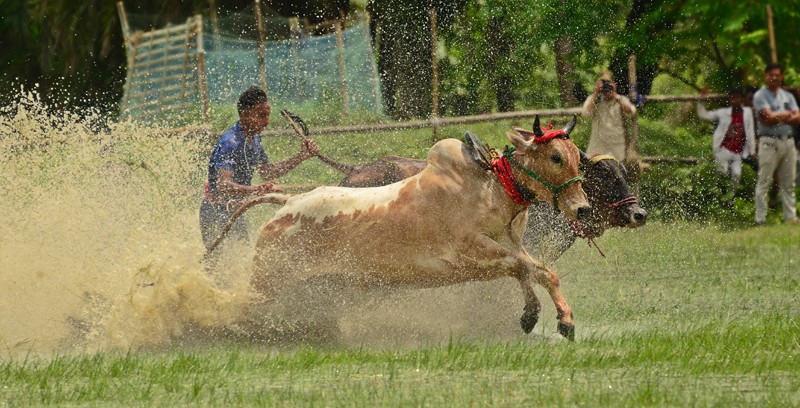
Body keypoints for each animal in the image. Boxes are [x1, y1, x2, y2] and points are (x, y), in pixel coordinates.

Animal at [248, 116, 589, 340]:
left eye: (577, 157)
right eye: (555, 157)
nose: (582, 208)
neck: (493, 186)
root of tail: (289, 201)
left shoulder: (510, 245)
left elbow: (544, 272)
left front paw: (566, 320)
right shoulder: (467, 249)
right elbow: (520, 267)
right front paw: (530, 314)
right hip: (265, 283)